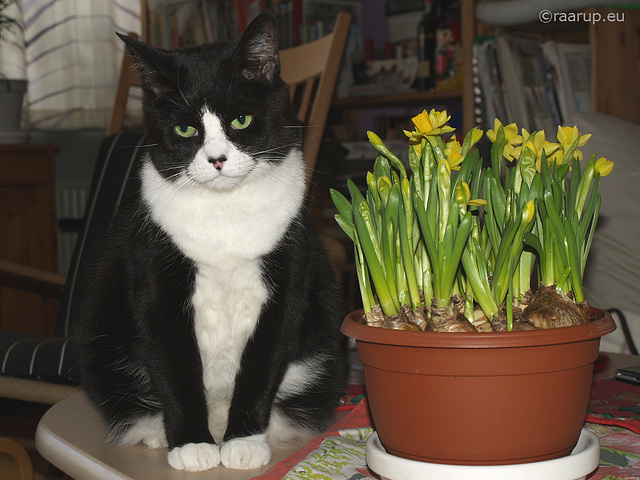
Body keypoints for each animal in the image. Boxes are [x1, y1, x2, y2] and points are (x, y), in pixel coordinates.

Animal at [76, 13, 350, 470]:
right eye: (185, 128)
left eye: (240, 120)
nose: (217, 159)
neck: (225, 214)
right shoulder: (156, 285)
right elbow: (173, 368)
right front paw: (191, 445)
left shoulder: (288, 283)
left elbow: (263, 364)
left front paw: (245, 442)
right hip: (105, 342)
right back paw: (161, 432)